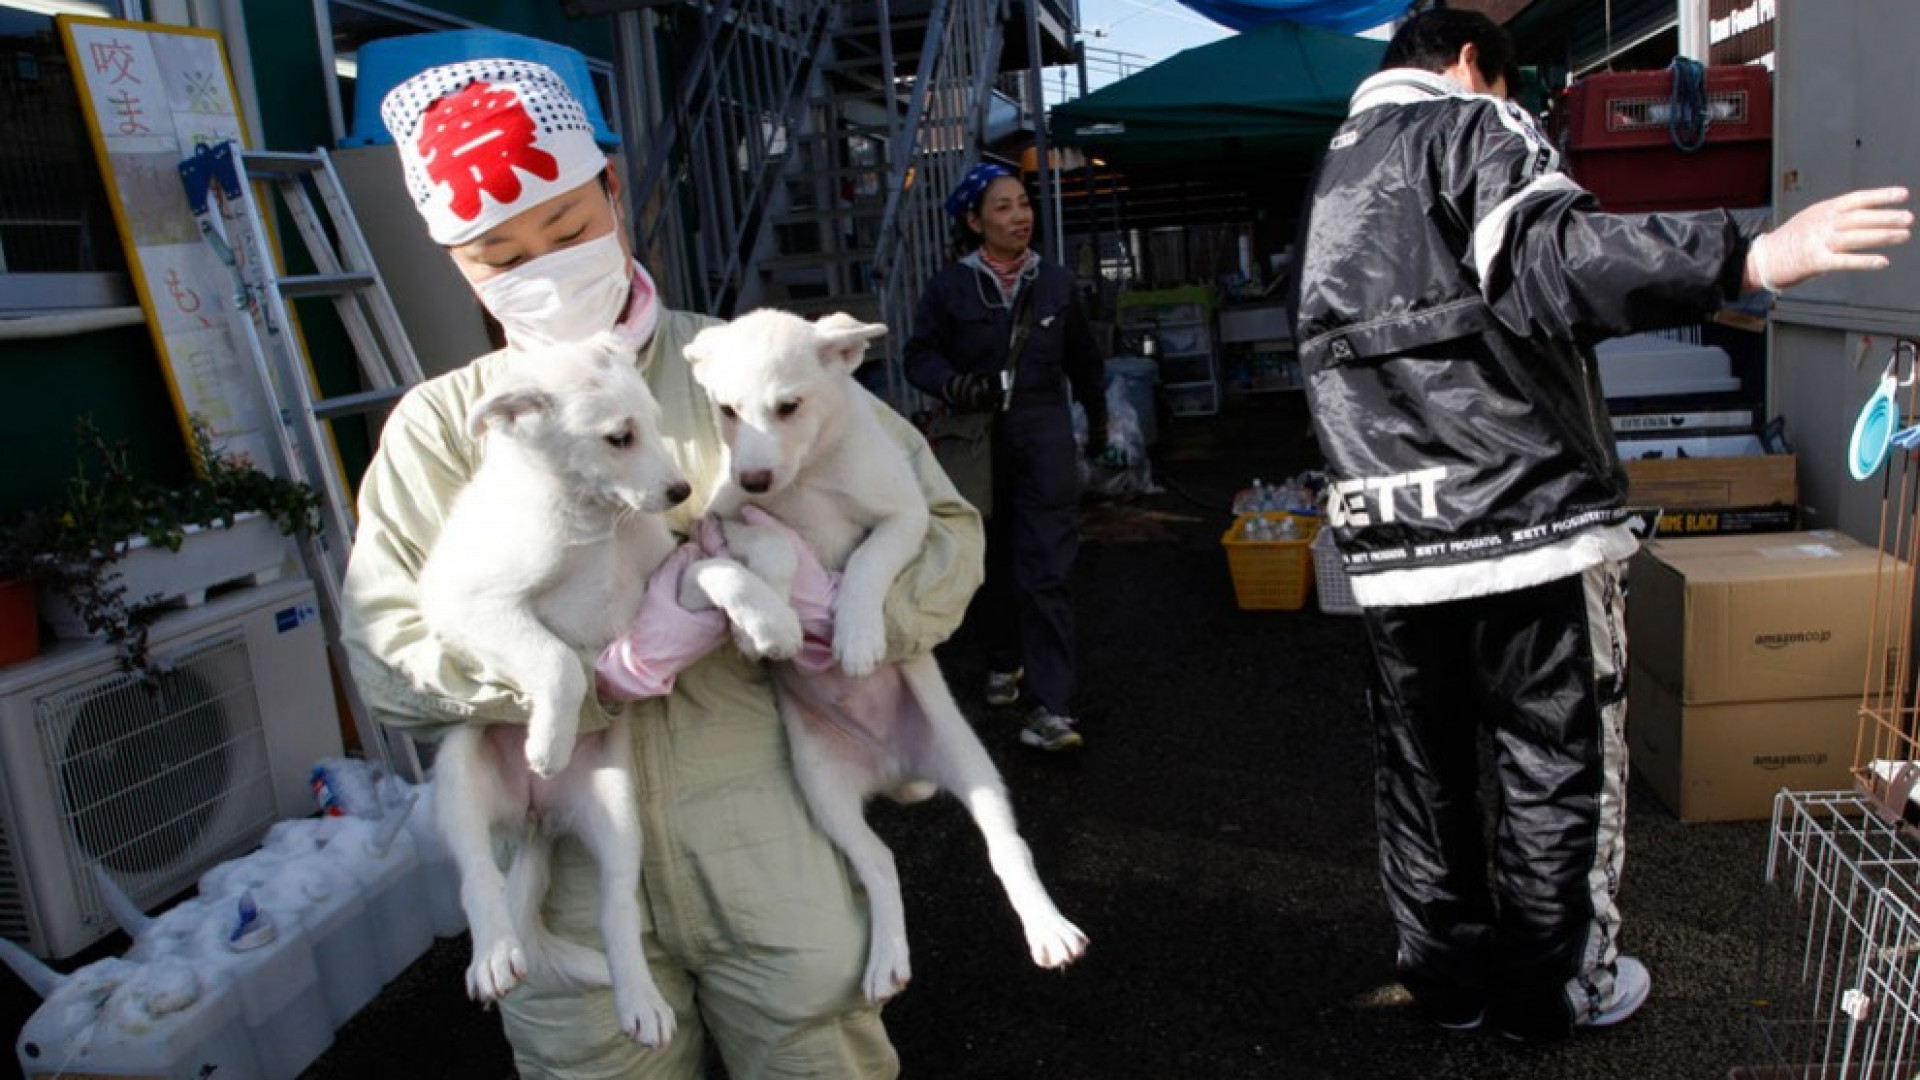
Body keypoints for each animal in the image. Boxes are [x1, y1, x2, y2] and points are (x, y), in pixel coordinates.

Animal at [416, 330, 687, 1045]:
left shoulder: (664, 566)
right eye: (619, 437)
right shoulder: (470, 605)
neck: (592, 522)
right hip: (457, 773)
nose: (681, 489)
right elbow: (558, 660)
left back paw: (640, 999)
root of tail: (536, 817)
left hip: (617, 812)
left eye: (656, 420)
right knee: (478, 876)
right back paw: (494, 954)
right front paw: (548, 740)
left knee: (617, 912)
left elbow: (716, 575)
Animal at [683, 307, 1090, 999]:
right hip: (823, 791)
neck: (809, 476)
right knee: (879, 862)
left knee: (1006, 847)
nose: (754, 478)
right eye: (727, 411)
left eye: (788, 406)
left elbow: (868, 562)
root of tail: (894, 770)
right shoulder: (725, 520)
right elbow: (774, 547)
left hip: (969, 762)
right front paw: (770, 623)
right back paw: (886, 961)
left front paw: (855, 635)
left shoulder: (907, 517)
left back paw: (1048, 930)